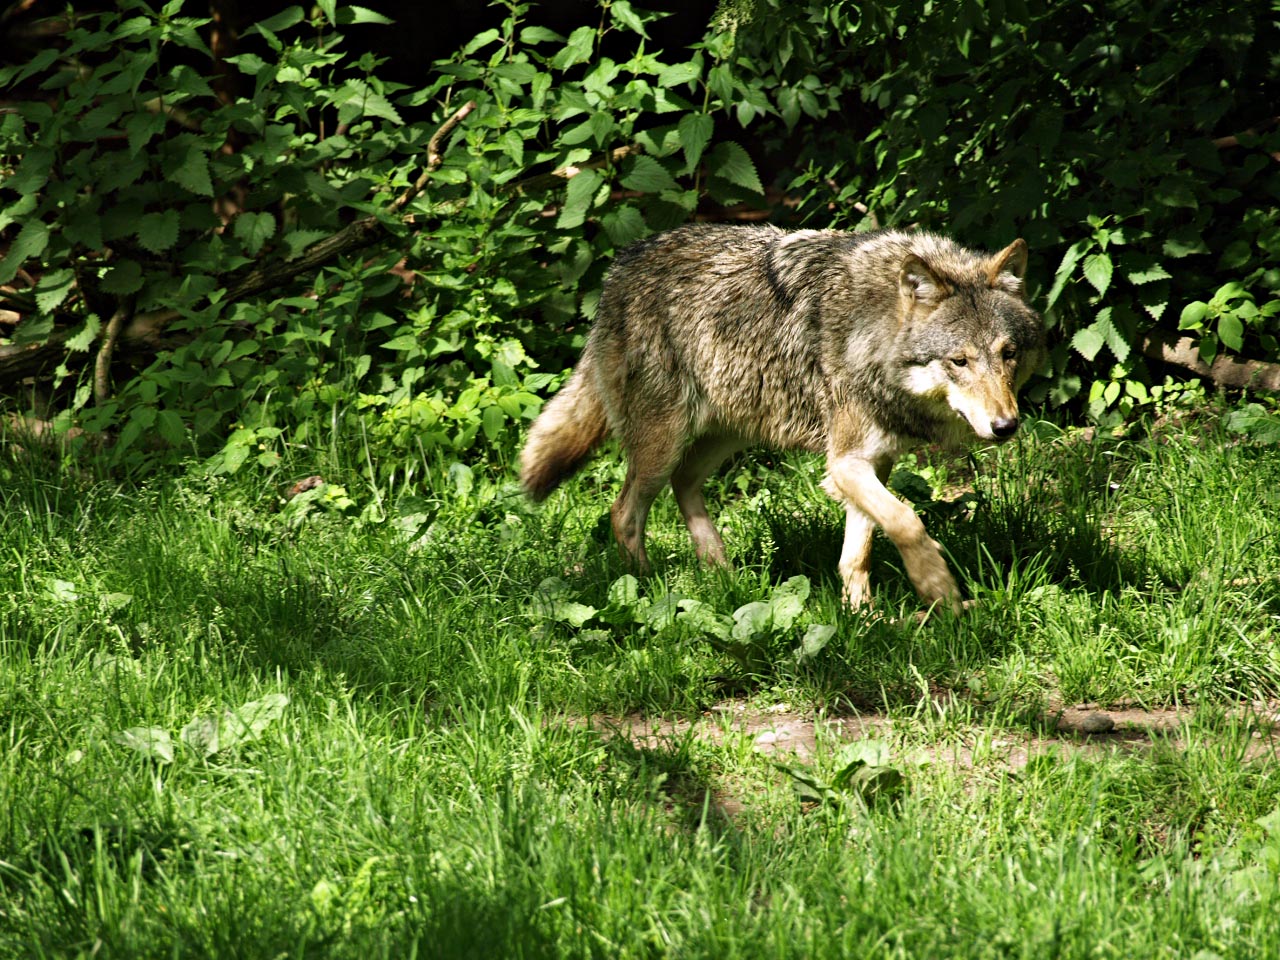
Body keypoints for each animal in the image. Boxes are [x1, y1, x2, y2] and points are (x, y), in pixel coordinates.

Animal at [520, 225, 1045, 611]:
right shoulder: (844, 464)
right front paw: (938, 589)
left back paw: (721, 573)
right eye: (959, 361)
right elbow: (907, 521)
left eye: (1009, 354)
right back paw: (645, 589)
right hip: (662, 446)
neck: (870, 331)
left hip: (727, 435)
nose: (1005, 427)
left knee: (684, 483)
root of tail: (622, 263)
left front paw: (864, 619)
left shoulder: (872, 462)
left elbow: (858, 552)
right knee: (624, 512)